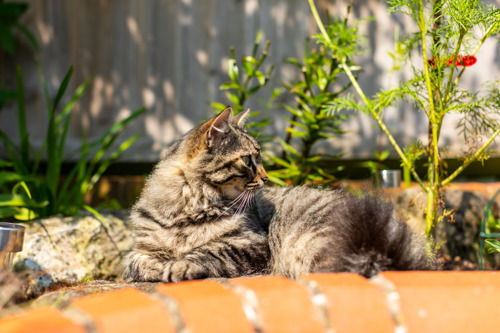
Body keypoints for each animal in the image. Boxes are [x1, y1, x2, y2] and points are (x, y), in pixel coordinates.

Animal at [123, 105, 436, 280]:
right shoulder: (138, 249)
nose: (265, 177)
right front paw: (157, 267)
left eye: (258, 158)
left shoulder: (249, 243)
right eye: (248, 160)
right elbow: (137, 262)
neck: (187, 208)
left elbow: (205, 251)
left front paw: (179, 266)